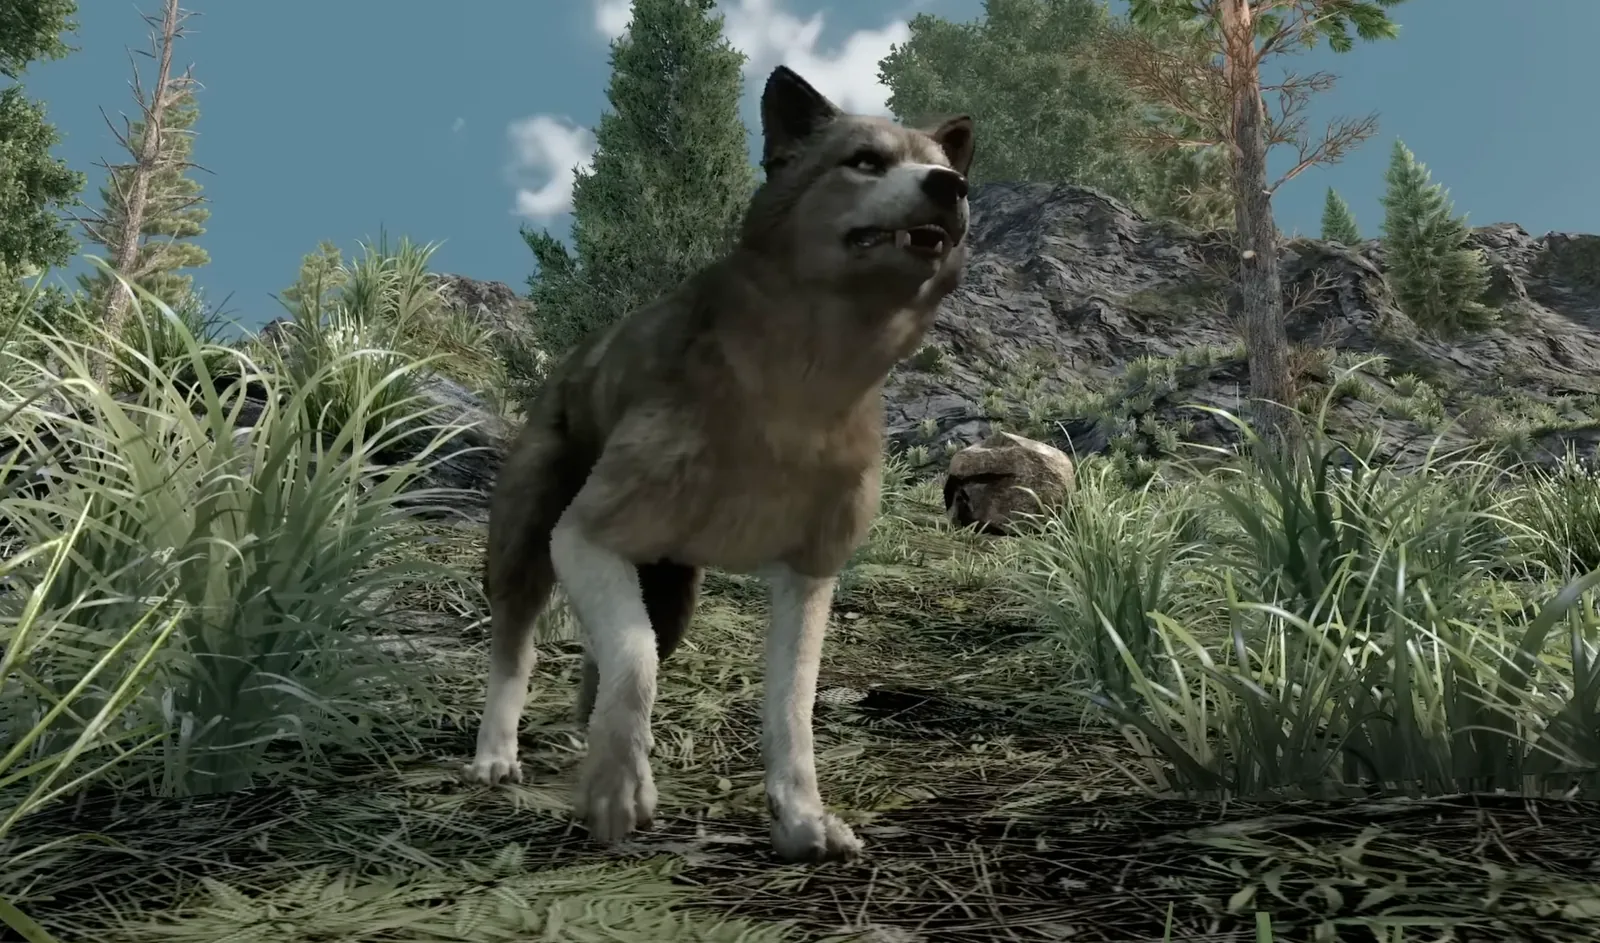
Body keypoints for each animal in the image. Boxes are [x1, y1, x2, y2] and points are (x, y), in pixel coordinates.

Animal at [461, 64, 974, 864]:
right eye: (865, 161)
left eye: (942, 165)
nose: (952, 185)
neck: (799, 387)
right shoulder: (585, 536)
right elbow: (633, 662)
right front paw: (619, 790)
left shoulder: (808, 573)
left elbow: (790, 707)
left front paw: (801, 819)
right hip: (527, 551)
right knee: (519, 648)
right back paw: (498, 755)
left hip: (672, 595)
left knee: (607, 658)